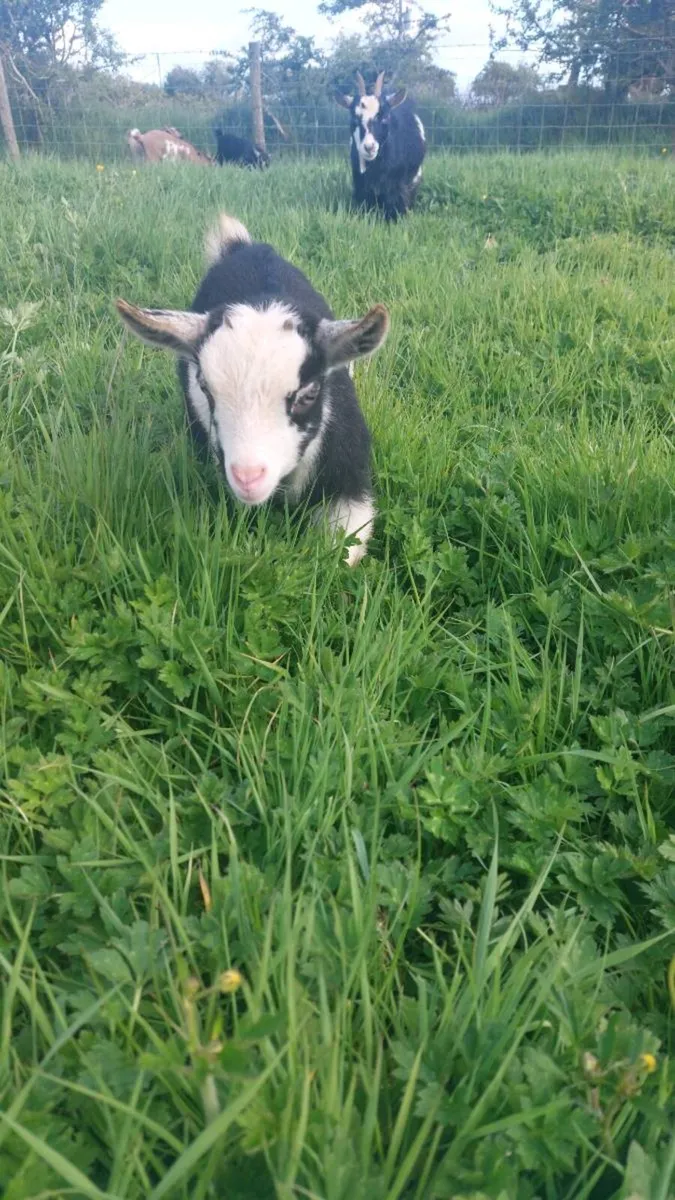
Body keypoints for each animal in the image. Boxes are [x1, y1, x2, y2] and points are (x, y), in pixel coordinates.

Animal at [116, 213, 389, 566]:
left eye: (309, 394)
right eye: (205, 388)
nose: (248, 477)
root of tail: (242, 247)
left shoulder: (350, 481)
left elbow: (340, 553)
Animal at [334, 71, 426, 221]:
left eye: (384, 117)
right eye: (354, 119)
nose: (369, 147)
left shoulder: (397, 184)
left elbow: (396, 204)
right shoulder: (361, 182)